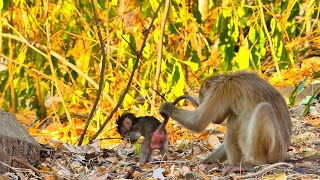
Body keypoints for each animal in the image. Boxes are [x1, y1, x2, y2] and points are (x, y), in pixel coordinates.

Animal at [159, 70, 292, 174]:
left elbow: (197, 123)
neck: (227, 77)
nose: (214, 120)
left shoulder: (220, 91)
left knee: (263, 109)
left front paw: (167, 108)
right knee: (233, 119)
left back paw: (252, 163)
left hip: (273, 151)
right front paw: (206, 162)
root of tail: (282, 154)